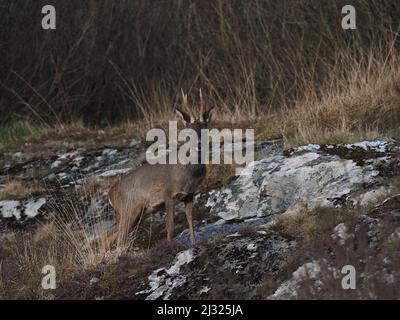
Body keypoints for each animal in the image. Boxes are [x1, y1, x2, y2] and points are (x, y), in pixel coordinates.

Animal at [106, 90, 216, 248]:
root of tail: (110, 194)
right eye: (189, 133)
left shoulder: (189, 195)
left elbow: (190, 220)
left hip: (135, 214)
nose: (199, 144)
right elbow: (170, 226)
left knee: (108, 238)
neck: (188, 172)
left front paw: (194, 244)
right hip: (128, 210)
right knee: (119, 238)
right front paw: (170, 247)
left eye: (205, 130)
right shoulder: (168, 193)